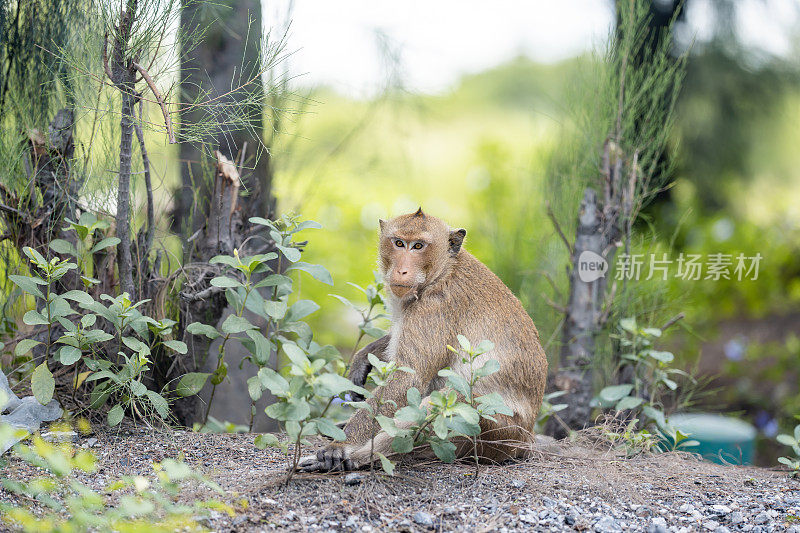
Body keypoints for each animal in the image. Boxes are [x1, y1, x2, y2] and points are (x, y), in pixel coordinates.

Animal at [300, 208, 552, 470]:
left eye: (418, 246)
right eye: (399, 243)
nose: (401, 270)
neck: (442, 272)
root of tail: (526, 439)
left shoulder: (434, 307)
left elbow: (407, 379)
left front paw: (340, 445)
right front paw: (363, 357)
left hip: (493, 432)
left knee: (441, 403)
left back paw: (359, 458)